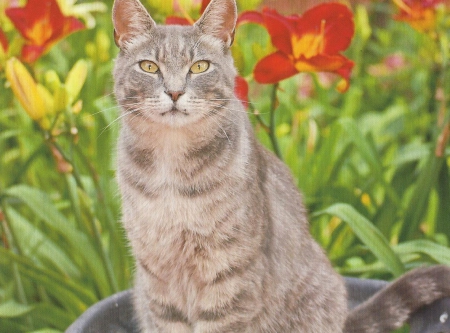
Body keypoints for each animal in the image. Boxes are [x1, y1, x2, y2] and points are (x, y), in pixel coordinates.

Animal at [111, 0, 450, 330]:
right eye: (149, 66)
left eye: (200, 66)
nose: (175, 91)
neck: (171, 162)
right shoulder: (159, 278)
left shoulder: (229, 275)